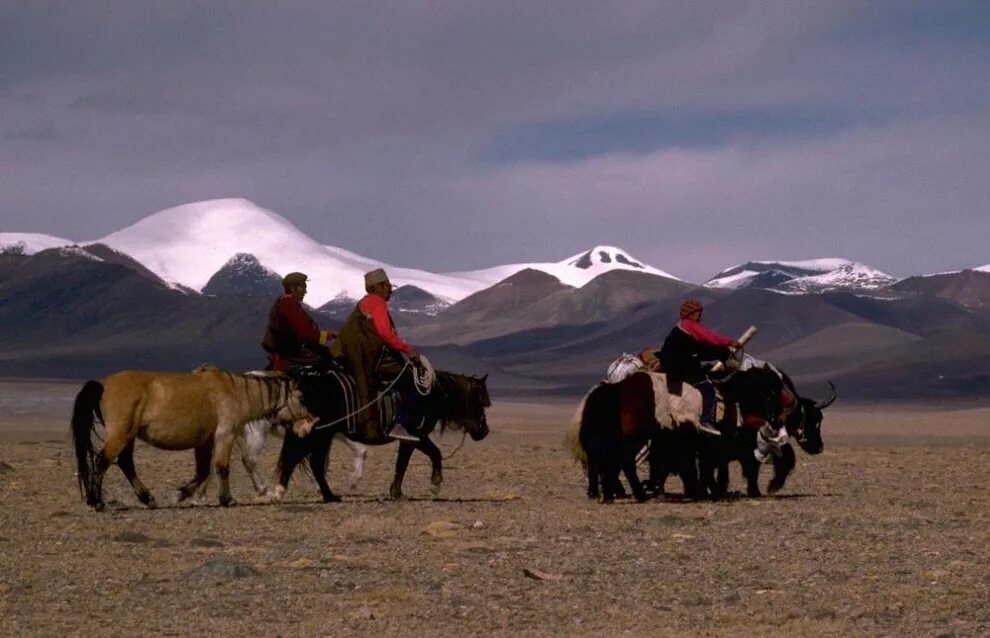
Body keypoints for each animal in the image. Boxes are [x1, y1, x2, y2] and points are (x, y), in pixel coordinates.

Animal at [71, 368, 312, 512]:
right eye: (301, 397)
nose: (310, 423)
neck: (236, 393)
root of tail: (103, 384)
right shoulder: (226, 435)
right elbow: (222, 467)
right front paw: (227, 499)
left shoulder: (205, 442)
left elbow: (203, 471)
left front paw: (181, 495)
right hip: (120, 435)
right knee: (103, 462)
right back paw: (97, 501)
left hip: (128, 436)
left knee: (125, 463)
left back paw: (147, 498)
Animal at [272, 368, 492, 502]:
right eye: (480, 401)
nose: (484, 431)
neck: (430, 395)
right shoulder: (416, 436)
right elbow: (424, 456)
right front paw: (433, 485)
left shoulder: (412, 438)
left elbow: (405, 463)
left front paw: (397, 492)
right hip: (319, 434)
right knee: (304, 460)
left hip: (320, 434)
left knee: (305, 461)